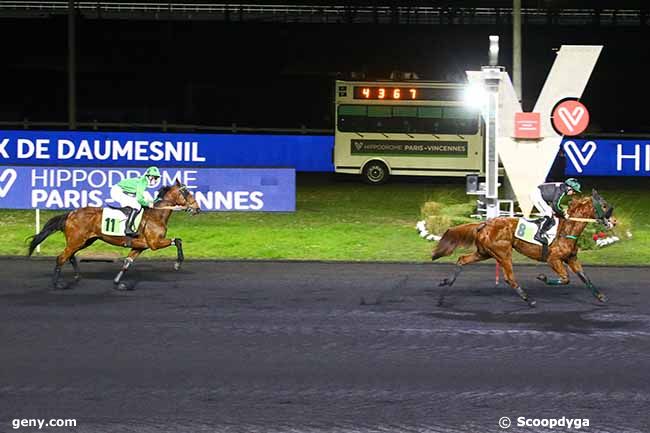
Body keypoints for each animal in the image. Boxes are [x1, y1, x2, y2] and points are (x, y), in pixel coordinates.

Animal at [27, 179, 199, 290]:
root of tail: (70, 213)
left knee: (70, 256)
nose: (197, 209)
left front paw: (119, 283)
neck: (156, 215)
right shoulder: (154, 243)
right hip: (77, 240)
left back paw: (76, 277)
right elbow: (178, 240)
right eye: (187, 192)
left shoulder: (140, 246)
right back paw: (58, 284)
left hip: (85, 241)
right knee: (61, 258)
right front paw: (177, 264)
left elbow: (127, 263)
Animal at [432, 189, 616, 308]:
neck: (568, 228)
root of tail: (485, 223)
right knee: (509, 278)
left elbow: (585, 278)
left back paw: (444, 289)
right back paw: (529, 300)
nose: (614, 221)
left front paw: (601, 297)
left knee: (462, 260)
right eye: (604, 205)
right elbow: (565, 279)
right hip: (503, 253)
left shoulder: (571, 258)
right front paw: (542, 277)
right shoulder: (553, 259)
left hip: (484, 252)